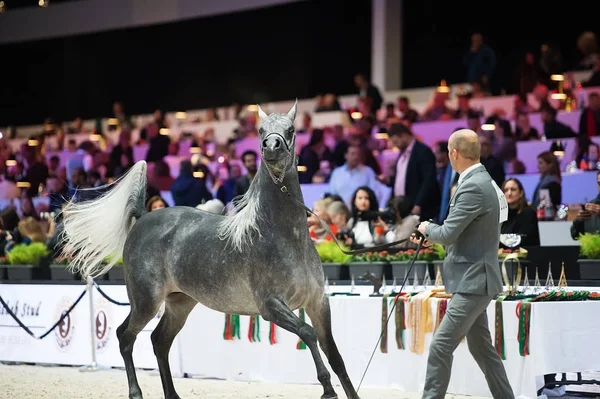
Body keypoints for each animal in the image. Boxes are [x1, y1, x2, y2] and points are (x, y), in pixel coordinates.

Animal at [58, 101, 360, 399]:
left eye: (291, 130)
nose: (271, 148)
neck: (284, 237)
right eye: (261, 130)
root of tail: (142, 218)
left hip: (180, 302)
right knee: (125, 336)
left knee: (159, 341)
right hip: (145, 302)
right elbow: (308, 333)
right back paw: (136, 393)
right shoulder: (271, 306)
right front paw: (327, 389)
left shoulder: (318, 303)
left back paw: (172, 395)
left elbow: (336, 356)